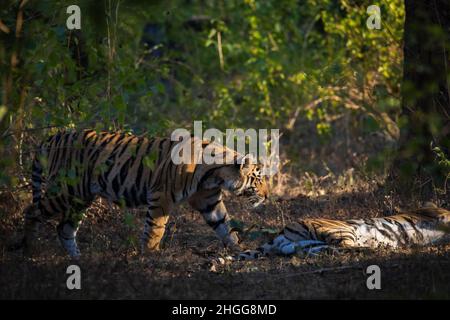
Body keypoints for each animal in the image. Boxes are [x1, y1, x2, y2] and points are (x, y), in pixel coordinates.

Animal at [22, 129, 268, 258]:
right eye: (258, 179)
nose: (267, 196)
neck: (215, 174)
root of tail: (53, 137)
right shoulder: (162, 197)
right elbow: (156, 228)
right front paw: (151, 255)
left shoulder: (208, 200)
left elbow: (224, 225)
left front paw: (239, 249)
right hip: (65, 191)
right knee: (32, 210)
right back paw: (28, 250)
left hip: (80, 197)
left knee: (64, 228)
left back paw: (78, 260)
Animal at [237, 205, 450, 260]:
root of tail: (280, 234)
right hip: (340, 231)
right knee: (350, 246)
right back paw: (384, 247)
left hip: (309, 246)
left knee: (335, 250)